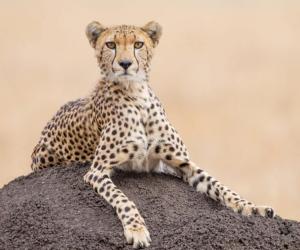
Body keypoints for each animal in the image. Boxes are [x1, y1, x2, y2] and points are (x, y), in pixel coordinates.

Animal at [31, 21, 276, 248]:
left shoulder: (181, 164)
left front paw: (254, 207)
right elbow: (123, 199)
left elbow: (218, 185)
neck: (136, 95)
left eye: (138, 44)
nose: (125, 64)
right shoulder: (97, 172)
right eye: (111, 44)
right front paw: (136, 229)